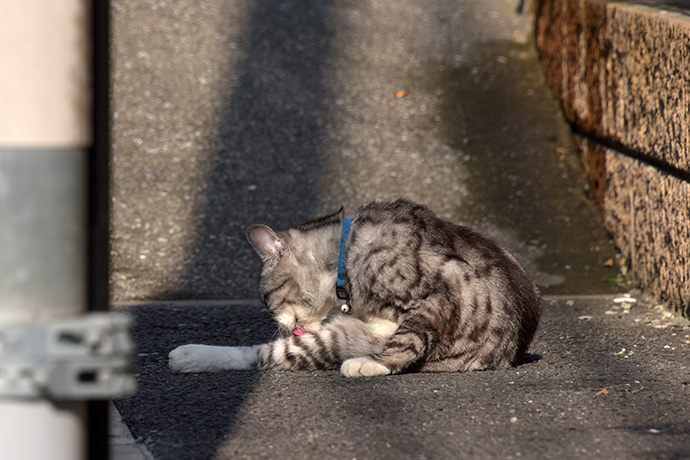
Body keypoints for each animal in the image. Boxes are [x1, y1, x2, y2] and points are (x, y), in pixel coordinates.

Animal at [169, 199, 540, 378]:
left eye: (269, 299)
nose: (279, 322)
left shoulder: (439, 295)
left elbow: (408, 339)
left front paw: (374, 364)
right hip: (339, 335)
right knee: (265, 354)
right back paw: (189, 355)